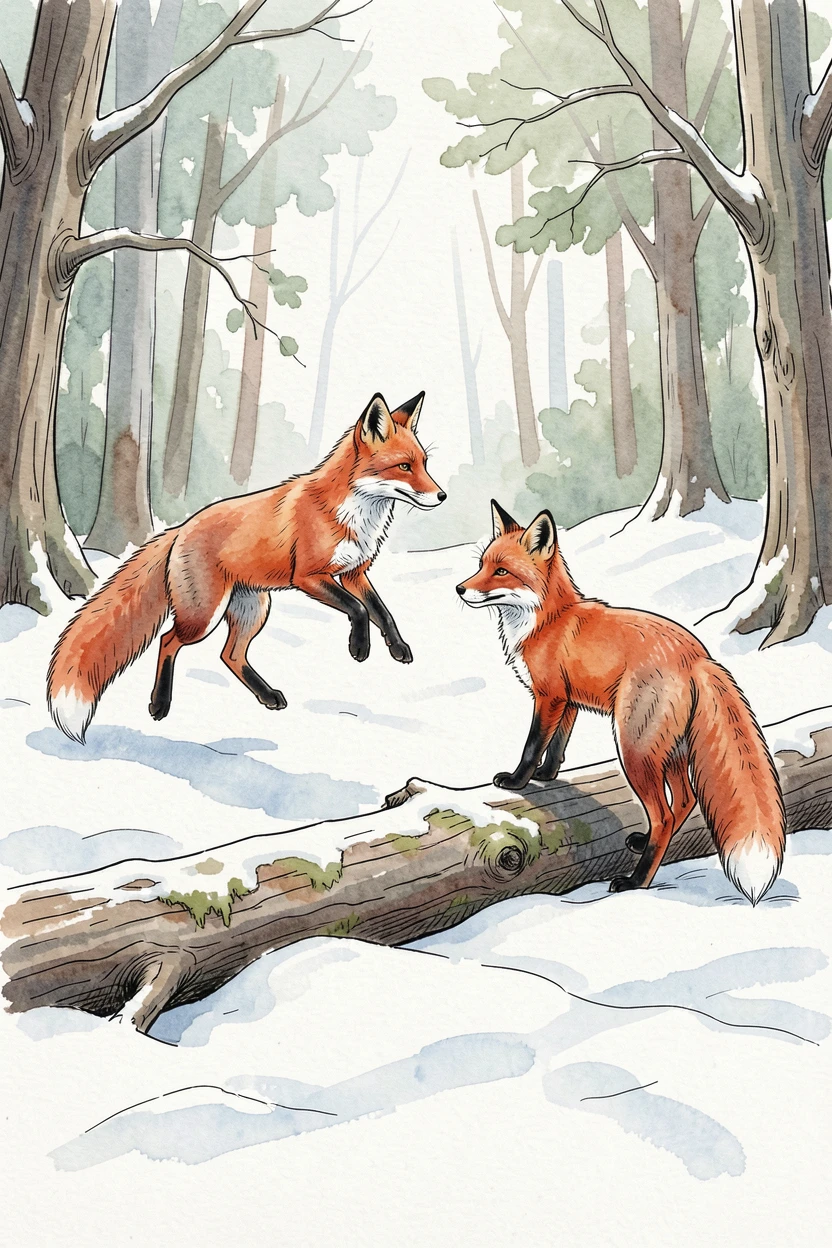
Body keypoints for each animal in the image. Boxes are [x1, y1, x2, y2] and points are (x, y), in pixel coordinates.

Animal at [48, 391, 444, 743]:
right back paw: (159, 704)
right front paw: (359, 648)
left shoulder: (354, 573)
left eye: (424, 463)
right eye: (404, 466)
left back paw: (267, 696)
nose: (441, 496)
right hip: (204, 615)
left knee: (230, 655)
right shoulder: (309, 576)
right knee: (168, 640)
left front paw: (397, 647)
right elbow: (360, 610)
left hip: (254, 608)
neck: (352, 513)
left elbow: (382, 611)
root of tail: (179, 529)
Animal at [456, 500, 786, 905]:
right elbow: (557, 746)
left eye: (502, 571)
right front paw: (548, 777)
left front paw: (518, 781)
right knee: (684, 801)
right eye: (482, 564)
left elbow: (533, 745)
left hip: (634, 748)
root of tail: (698, 656)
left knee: (663, 814)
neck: (547, 620)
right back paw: (644, 844)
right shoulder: (568, 701)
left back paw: (636, 881)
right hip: (670, 750)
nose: (460, 588)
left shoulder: (548, 697)